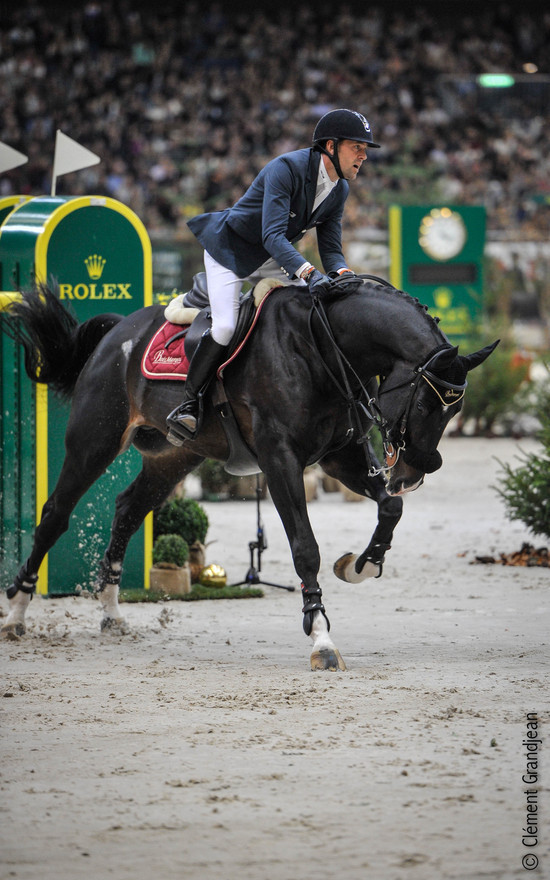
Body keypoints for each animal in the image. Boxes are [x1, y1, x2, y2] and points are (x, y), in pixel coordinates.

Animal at [1, 278, 500, 672]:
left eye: (453, 410)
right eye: (426, 401)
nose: (415, 472)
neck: (323, 345)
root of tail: (119, 331)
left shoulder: (340, 456)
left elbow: (390, 507)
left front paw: (363, 564)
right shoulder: (281, 461)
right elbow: (305, 547)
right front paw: (321, 637)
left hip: (173, 458)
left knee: (127, 509)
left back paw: (110, 613)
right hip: (95, 441)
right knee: (56, 513)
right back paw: (17, 614)